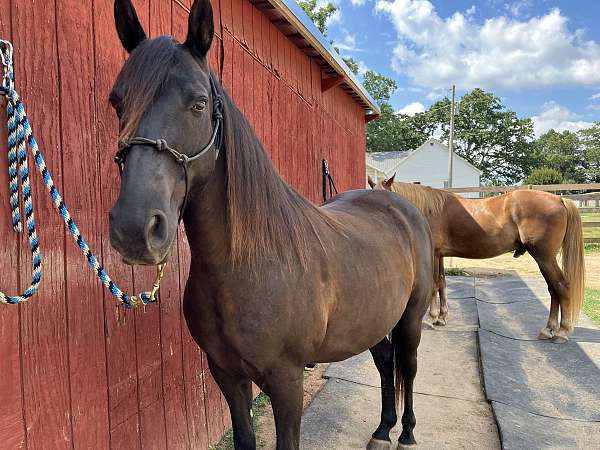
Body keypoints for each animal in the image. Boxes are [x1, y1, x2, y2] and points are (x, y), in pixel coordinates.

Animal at [108, 1, 436, 448]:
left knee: (409, 367)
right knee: (386, 362)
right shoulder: (226, 375)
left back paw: (405, 433)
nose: (134, 229)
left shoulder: (286, 382)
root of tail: (398, 204)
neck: (244, 268)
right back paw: (383, 430)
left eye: (198, 103)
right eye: (117, 101)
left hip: (411, 318)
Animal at [370, 177, 584, 344]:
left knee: (561, 286)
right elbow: (442, 284)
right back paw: (549, 329)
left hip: (544, 257)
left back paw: (562, 332)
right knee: (553, 290)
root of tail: (560, 199)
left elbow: (434, 285)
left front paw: (431, 318)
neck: (428, 211)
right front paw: (442, 317)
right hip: (544, 259)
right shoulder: (440, 255)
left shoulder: (434, 254)